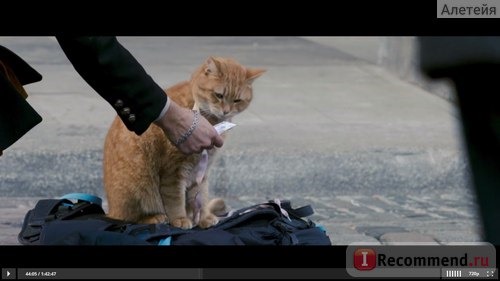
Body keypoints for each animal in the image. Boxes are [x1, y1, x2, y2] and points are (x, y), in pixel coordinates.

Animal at [102, 56, 266, 228]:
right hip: (138, 186)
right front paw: (180, 219)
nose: (226, 111)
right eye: (219, 95)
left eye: (237, 100)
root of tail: (111, 209)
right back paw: (154, 217)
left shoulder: (201, 172)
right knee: (128, 218)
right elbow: (175, 200)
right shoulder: (173, 171)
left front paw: (203, 217)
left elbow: (199, 195)